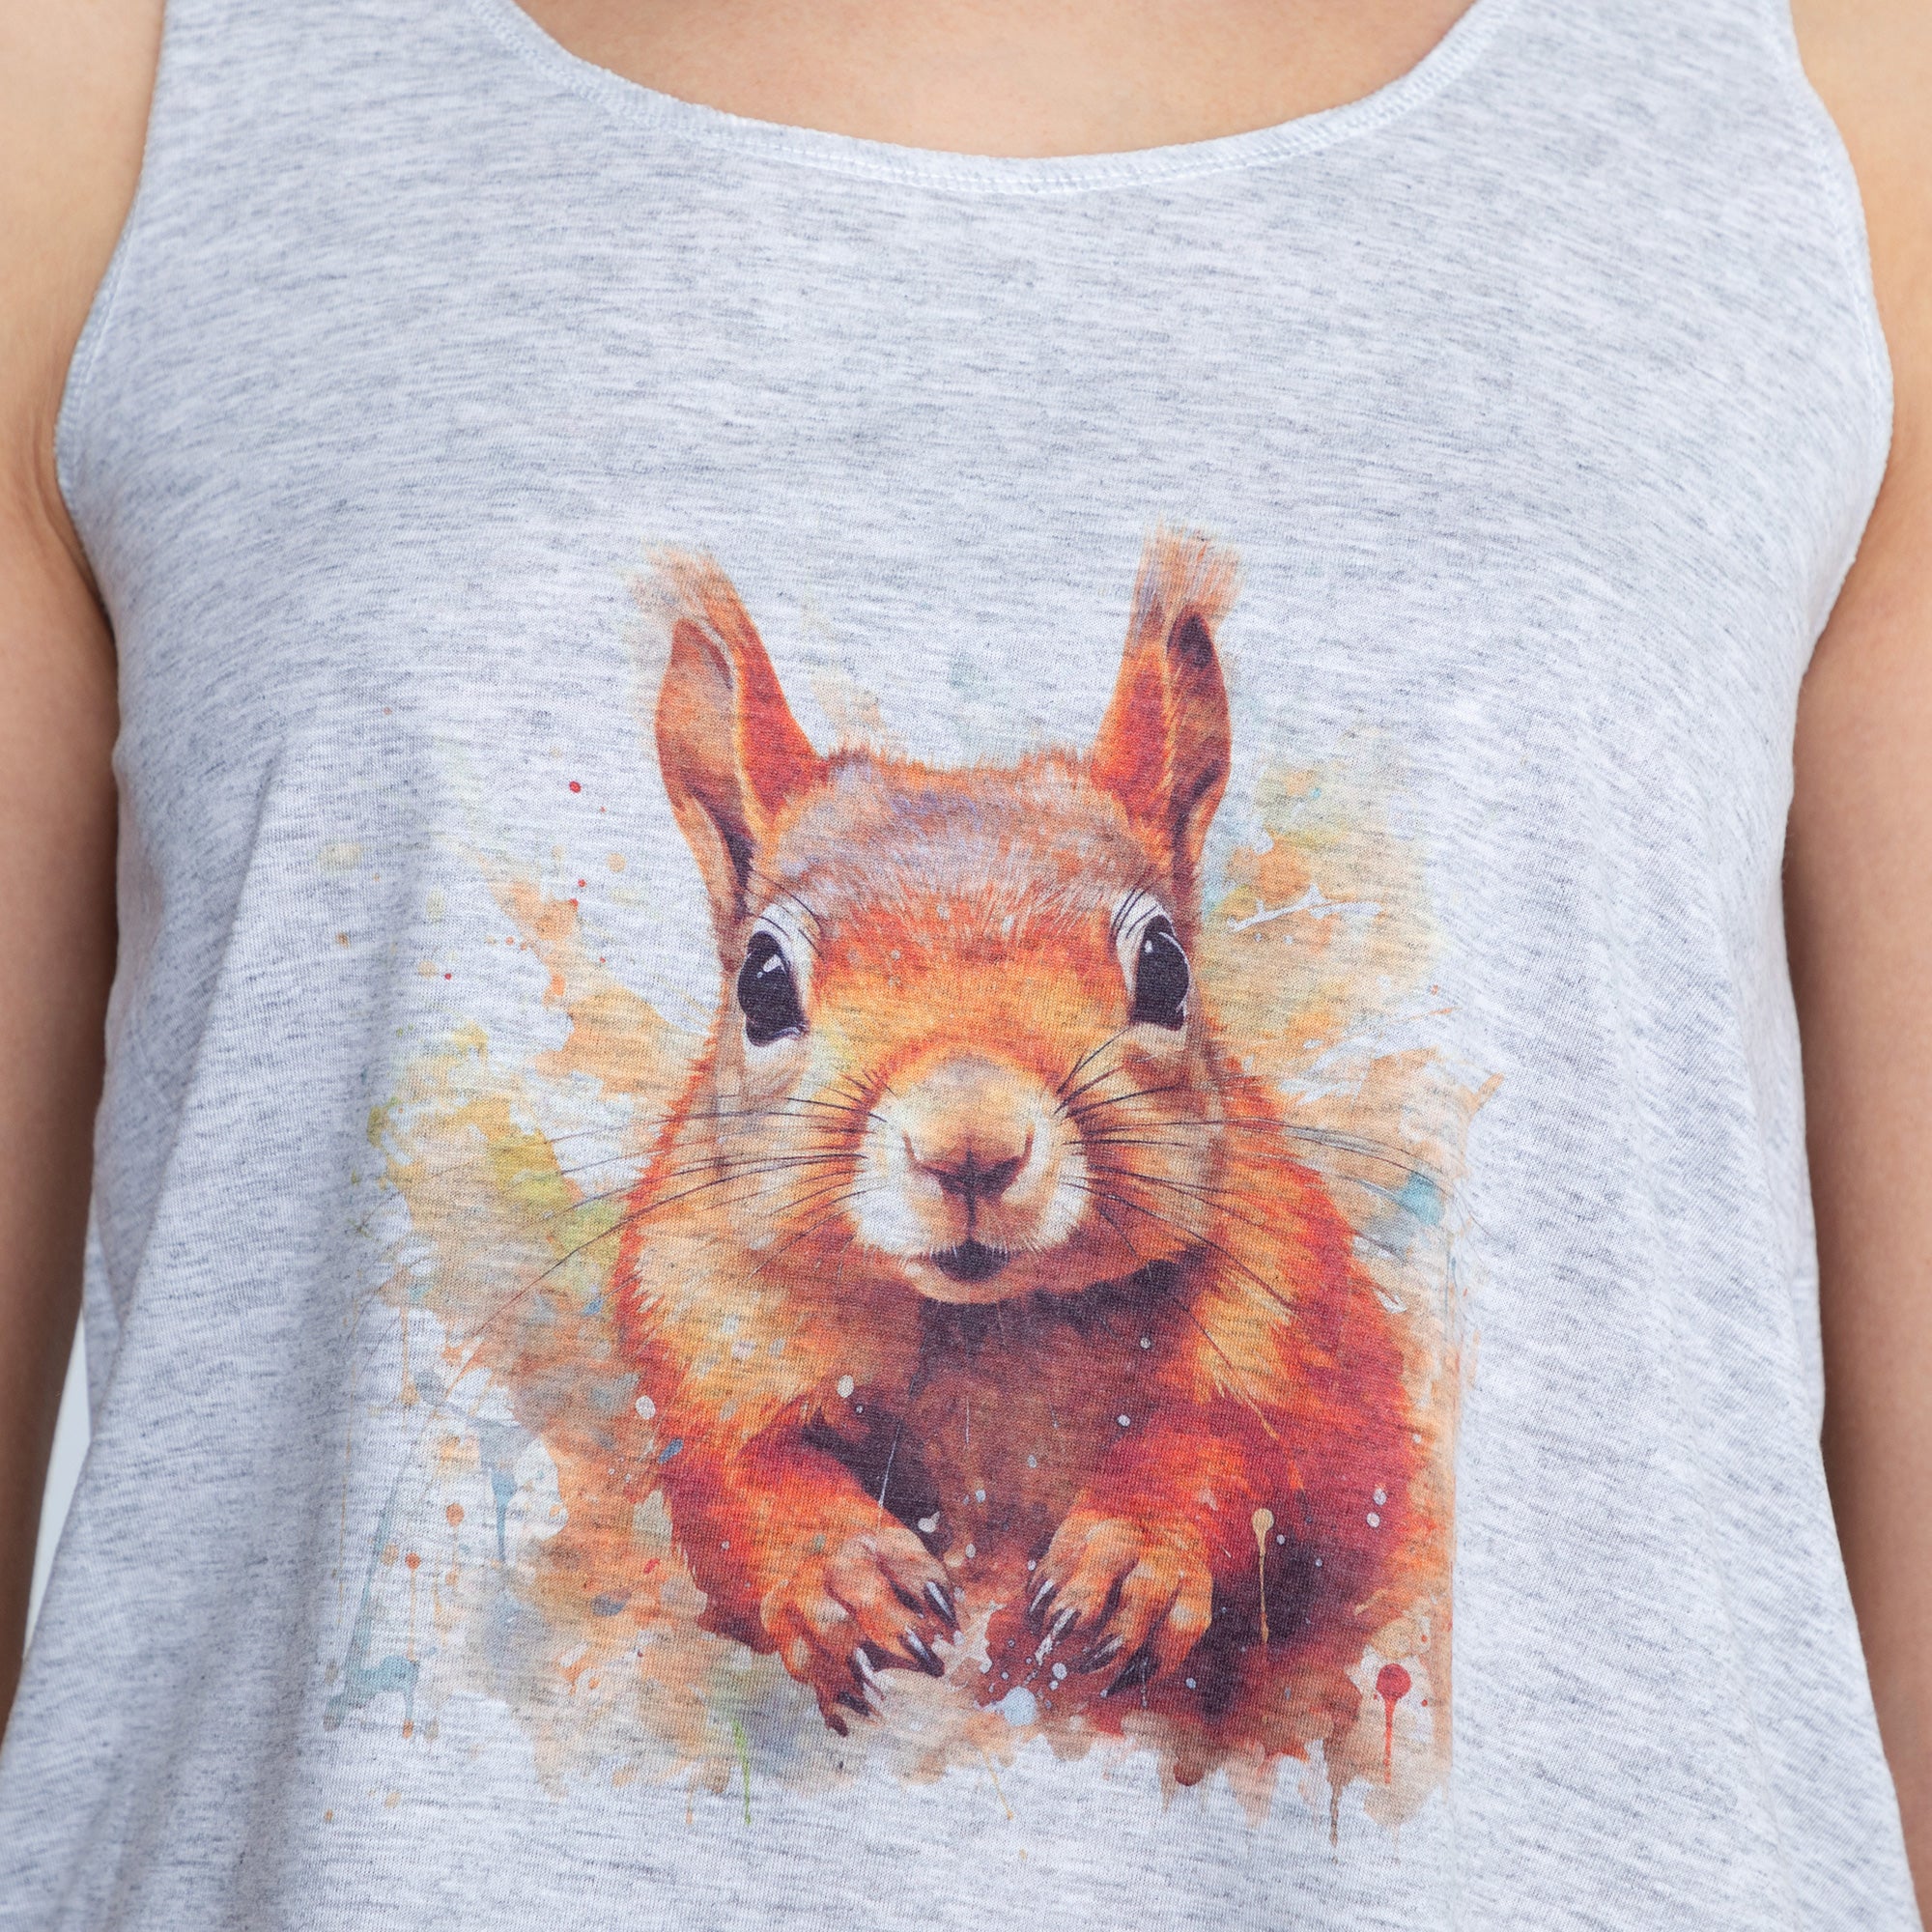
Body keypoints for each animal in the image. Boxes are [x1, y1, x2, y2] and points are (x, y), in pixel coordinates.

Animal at [614, 533, 1428, 1750]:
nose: (969, 1146)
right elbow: (736, 1474)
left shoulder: (1296, 1314)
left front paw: (1132, 1553)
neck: (985, 1331)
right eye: (759, 983)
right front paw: (842, 1572)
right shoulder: (695, 1317)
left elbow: (1242, 1447)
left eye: (1165, 967)